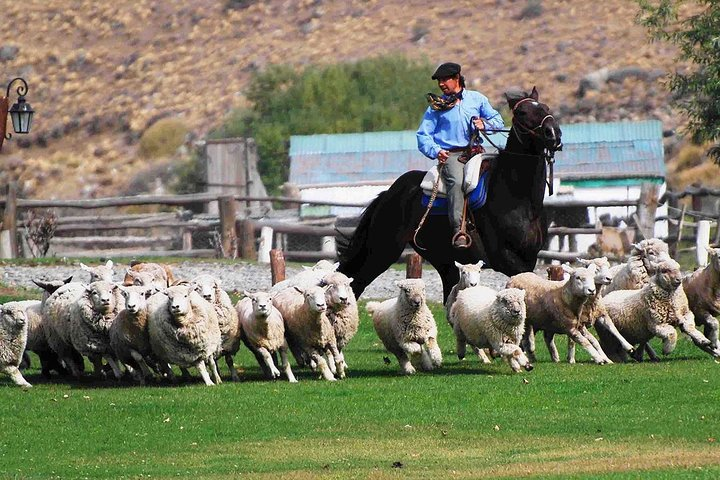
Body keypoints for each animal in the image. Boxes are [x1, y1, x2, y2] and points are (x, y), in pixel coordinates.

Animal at [338, 88, 564, 302]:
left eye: (545, 107)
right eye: (521, 112)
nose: (553, 134)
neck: (519, 200)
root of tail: (389, 193)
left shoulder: (530, 257)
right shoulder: (505, 258)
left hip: (444, 263)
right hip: (383, 250)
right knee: (357, 284)